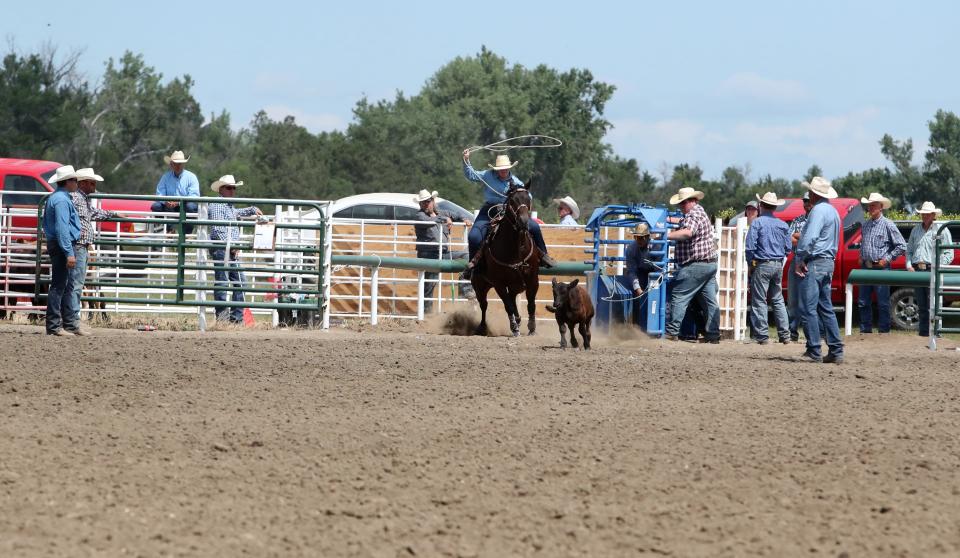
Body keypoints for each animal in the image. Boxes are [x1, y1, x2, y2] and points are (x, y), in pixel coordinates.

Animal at [470, 184, 540, 336]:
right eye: (512, 201)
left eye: (528, 199)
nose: (523, 221)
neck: (516, 248)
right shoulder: (499, 284)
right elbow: (508, 306)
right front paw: (514, 327)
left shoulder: (532, 278)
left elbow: (531, 303)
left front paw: (532, 327)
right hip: (480, 286)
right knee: (484, 305)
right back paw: (482, 327)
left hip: (515, 285)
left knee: (512, 299)